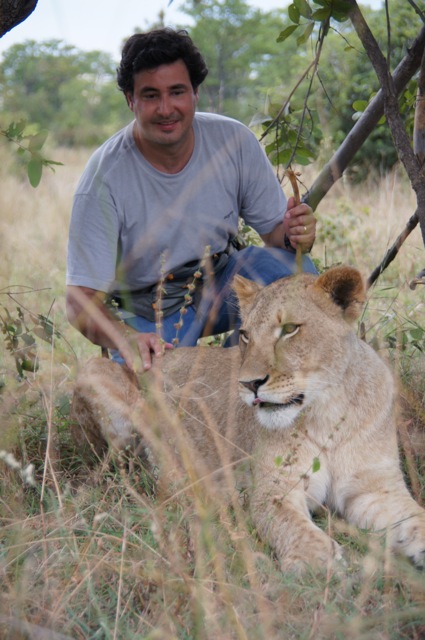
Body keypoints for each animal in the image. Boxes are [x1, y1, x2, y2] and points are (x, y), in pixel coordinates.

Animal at [70, 265, 425, 572]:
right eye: (244, 335)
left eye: (289, 329)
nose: (248, 383)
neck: (327, 411)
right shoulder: (274, 490)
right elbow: (292, 527)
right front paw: (320, 562)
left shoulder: (375, 489)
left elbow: (414, 519)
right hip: (96, 374)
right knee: (126, 471)